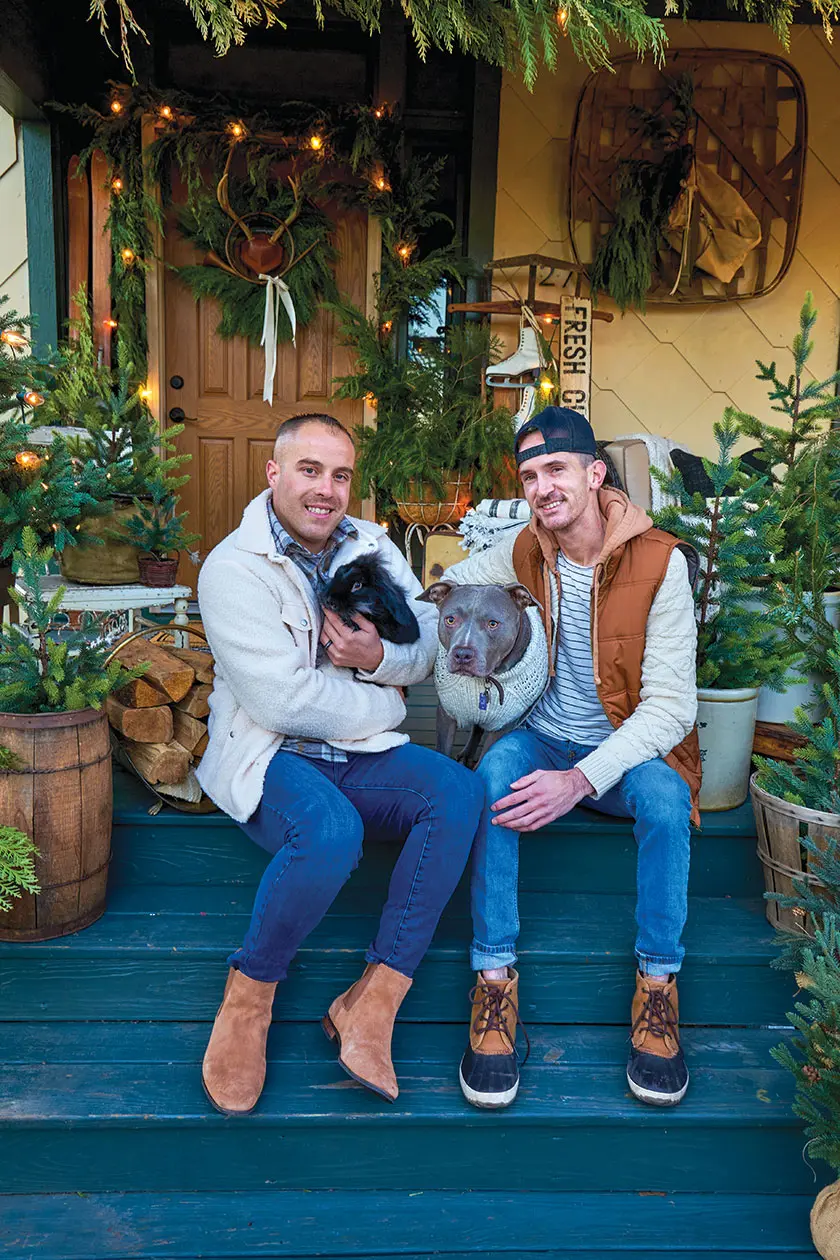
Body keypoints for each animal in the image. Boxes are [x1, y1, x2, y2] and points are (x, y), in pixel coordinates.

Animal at [418, 582, 541, 766]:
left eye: (493, 623)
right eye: (450, 620)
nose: (462, 654)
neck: (485, 680)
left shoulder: (502, 727)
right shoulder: (446, 715)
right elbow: (443, 751)